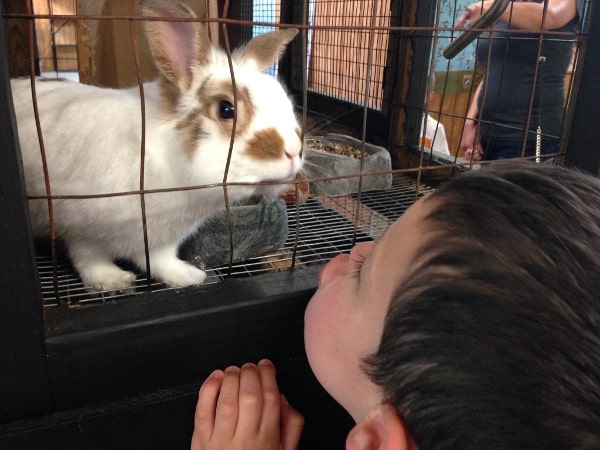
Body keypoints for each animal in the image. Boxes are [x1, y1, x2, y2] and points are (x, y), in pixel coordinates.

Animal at [12, 0, 304, 292]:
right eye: (226, 109)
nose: (293, 152)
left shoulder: (158, 240)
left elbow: (158, 262)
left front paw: (188, 276)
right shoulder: (80, 228)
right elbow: (89, 259)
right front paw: (113, 280)